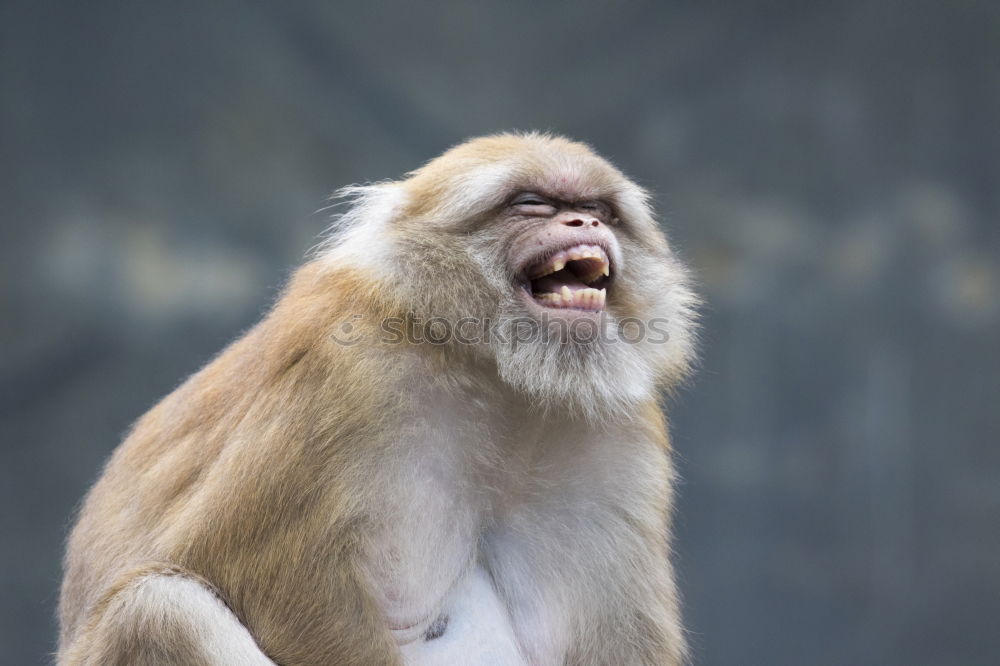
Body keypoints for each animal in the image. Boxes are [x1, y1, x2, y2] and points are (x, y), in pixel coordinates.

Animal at [54, 132, 696, 660]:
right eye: (532, 203)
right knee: (155, 611)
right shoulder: (347, 373)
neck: (492, 375)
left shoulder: (618, 431)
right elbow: (260, 576)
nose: (586, 226)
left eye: (600, 210)